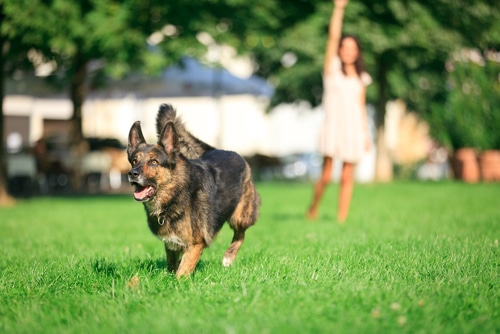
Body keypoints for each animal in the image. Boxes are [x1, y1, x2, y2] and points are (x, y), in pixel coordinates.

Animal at [127, 103, 260, 276]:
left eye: (154, 162)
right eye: (134, 161)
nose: (132, 174)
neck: (176, 193)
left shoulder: (196, 244)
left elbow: (181, 273)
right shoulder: (171, 244)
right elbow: (172, 266)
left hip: (240, 216)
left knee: (241, 234)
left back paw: (228, 258)